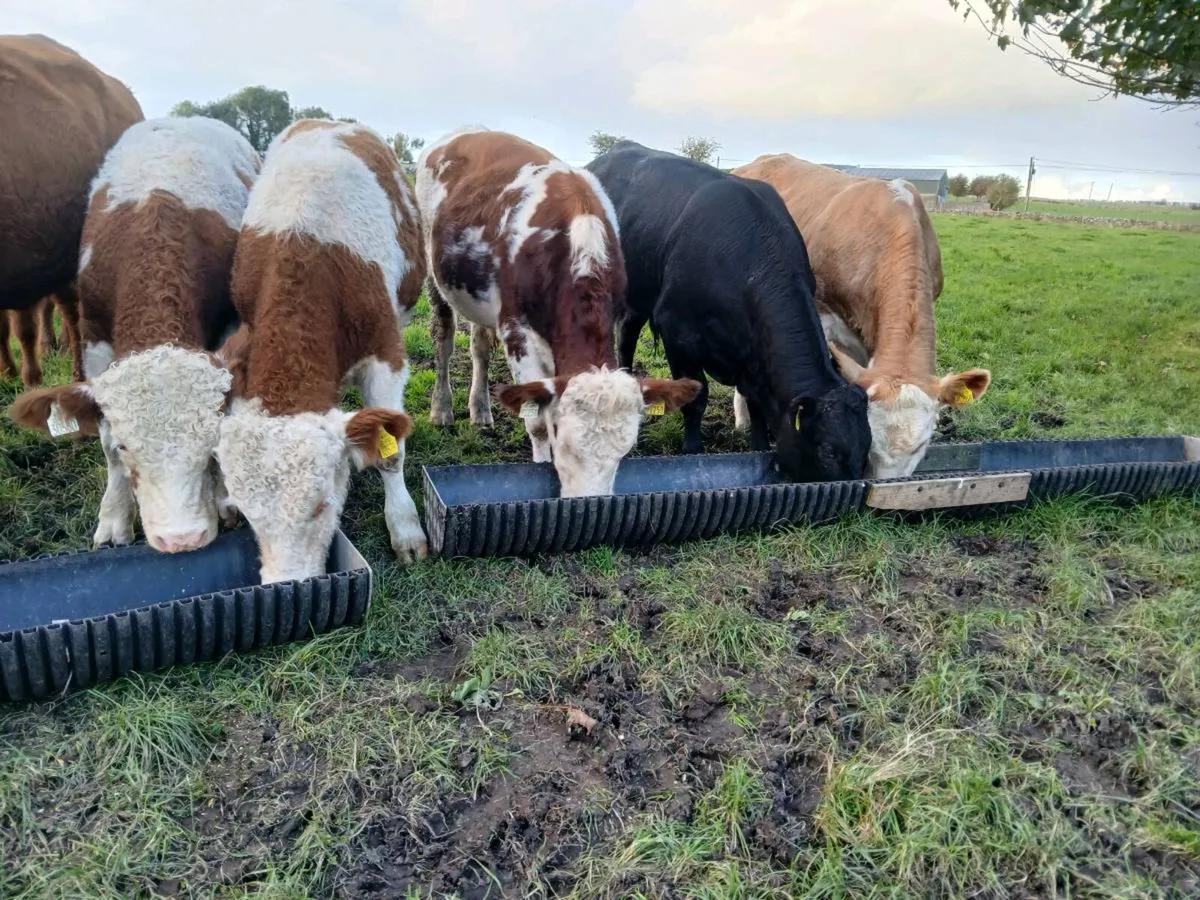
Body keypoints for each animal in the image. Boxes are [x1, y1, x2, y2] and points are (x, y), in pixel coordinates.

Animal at [8, 116, 259, 552]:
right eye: (128, 447)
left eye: (210, 444)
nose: (183, 539)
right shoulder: (94, 340)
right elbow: (105, 441)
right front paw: (114, 519)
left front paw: (224, 499)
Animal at [214, 120, 426, 584]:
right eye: (252, 515)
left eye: (324, 503)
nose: (287, 586)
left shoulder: (387, 354)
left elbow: (392, 453)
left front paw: (405, 528)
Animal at [415, 127, 700, 498]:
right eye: (565, 443)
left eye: (623, 452)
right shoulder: (516, 331)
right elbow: (535, 419)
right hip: (433, 272)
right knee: (444, 340)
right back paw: (442, 410)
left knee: (479, 347)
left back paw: (480, 410)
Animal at [587, 141, 870, 483]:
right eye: (828, 450)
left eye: (867, 447)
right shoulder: (679, 334)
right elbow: (696, 398)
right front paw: (692, 449)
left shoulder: (753, 361)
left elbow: (757, 407)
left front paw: (759, 446)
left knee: (627, 332)